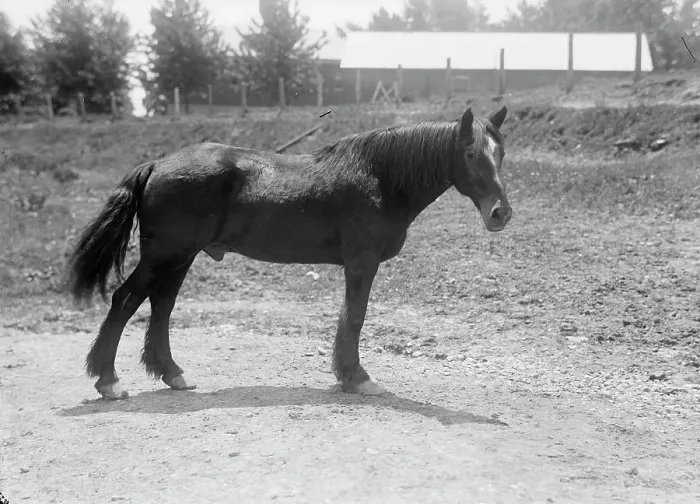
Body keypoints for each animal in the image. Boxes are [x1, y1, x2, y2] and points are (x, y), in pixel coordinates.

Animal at [66, 106, 512, 400]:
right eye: (471, 153)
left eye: (501, 153)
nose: (500, 213)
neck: (380, 177)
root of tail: (158, 164)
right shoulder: (361, 262)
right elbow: (355, 317)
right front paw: (357, 377)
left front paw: (347, 375)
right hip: (164, 256)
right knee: (125, 300)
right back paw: (109, 381)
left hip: (180, 258)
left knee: (161, 307)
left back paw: (172, 374)